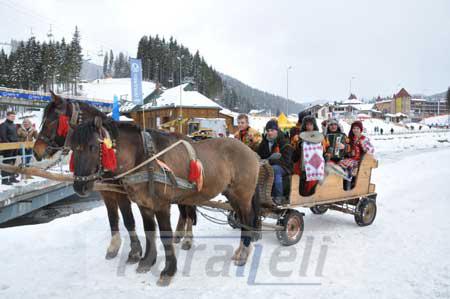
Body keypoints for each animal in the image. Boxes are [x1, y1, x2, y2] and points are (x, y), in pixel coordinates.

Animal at [32, 92, 198, 274]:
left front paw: (134, 252)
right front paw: (114, 246)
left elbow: (128, 219)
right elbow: (112, 218)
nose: (36, 150)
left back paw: (187, 238)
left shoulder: (121, 192)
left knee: (189, 209)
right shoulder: (106, 191)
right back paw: (179, 234)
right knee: (183, 210)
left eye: (52, 120)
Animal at [68, 116, 262, 286]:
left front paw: (168, 271)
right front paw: (147, 261)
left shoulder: (162, 206)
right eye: (72, 148)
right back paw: (241, 250)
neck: (145, 158)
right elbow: (149, 231)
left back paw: (244, 253)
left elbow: (165, 236)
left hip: (243, 195)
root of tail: (251, 152)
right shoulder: (143, 205)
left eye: (93, 146)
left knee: (246, 220)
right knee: (240, 220)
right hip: (232, 195)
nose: (79, 186)